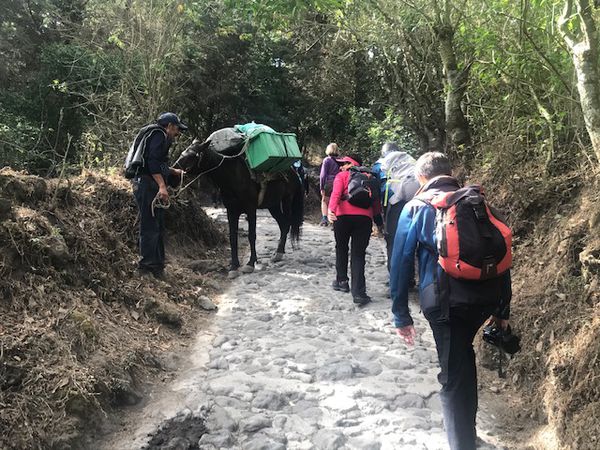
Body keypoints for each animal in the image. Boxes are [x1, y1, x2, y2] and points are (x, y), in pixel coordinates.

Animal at [175, 141, 304, 276]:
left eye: (191, 155)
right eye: (182, 153)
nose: (174, 171)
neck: (232, 176)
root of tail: (295, 173)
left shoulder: (251, 209)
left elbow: (251, 235)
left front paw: (250, 263)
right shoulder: (231, 210)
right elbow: (232, 237)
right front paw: (233, 265)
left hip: (287, 200)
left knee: (287, 223)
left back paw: (279, 253)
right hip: (273, 205)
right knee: (283, 224)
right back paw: (278, 253)